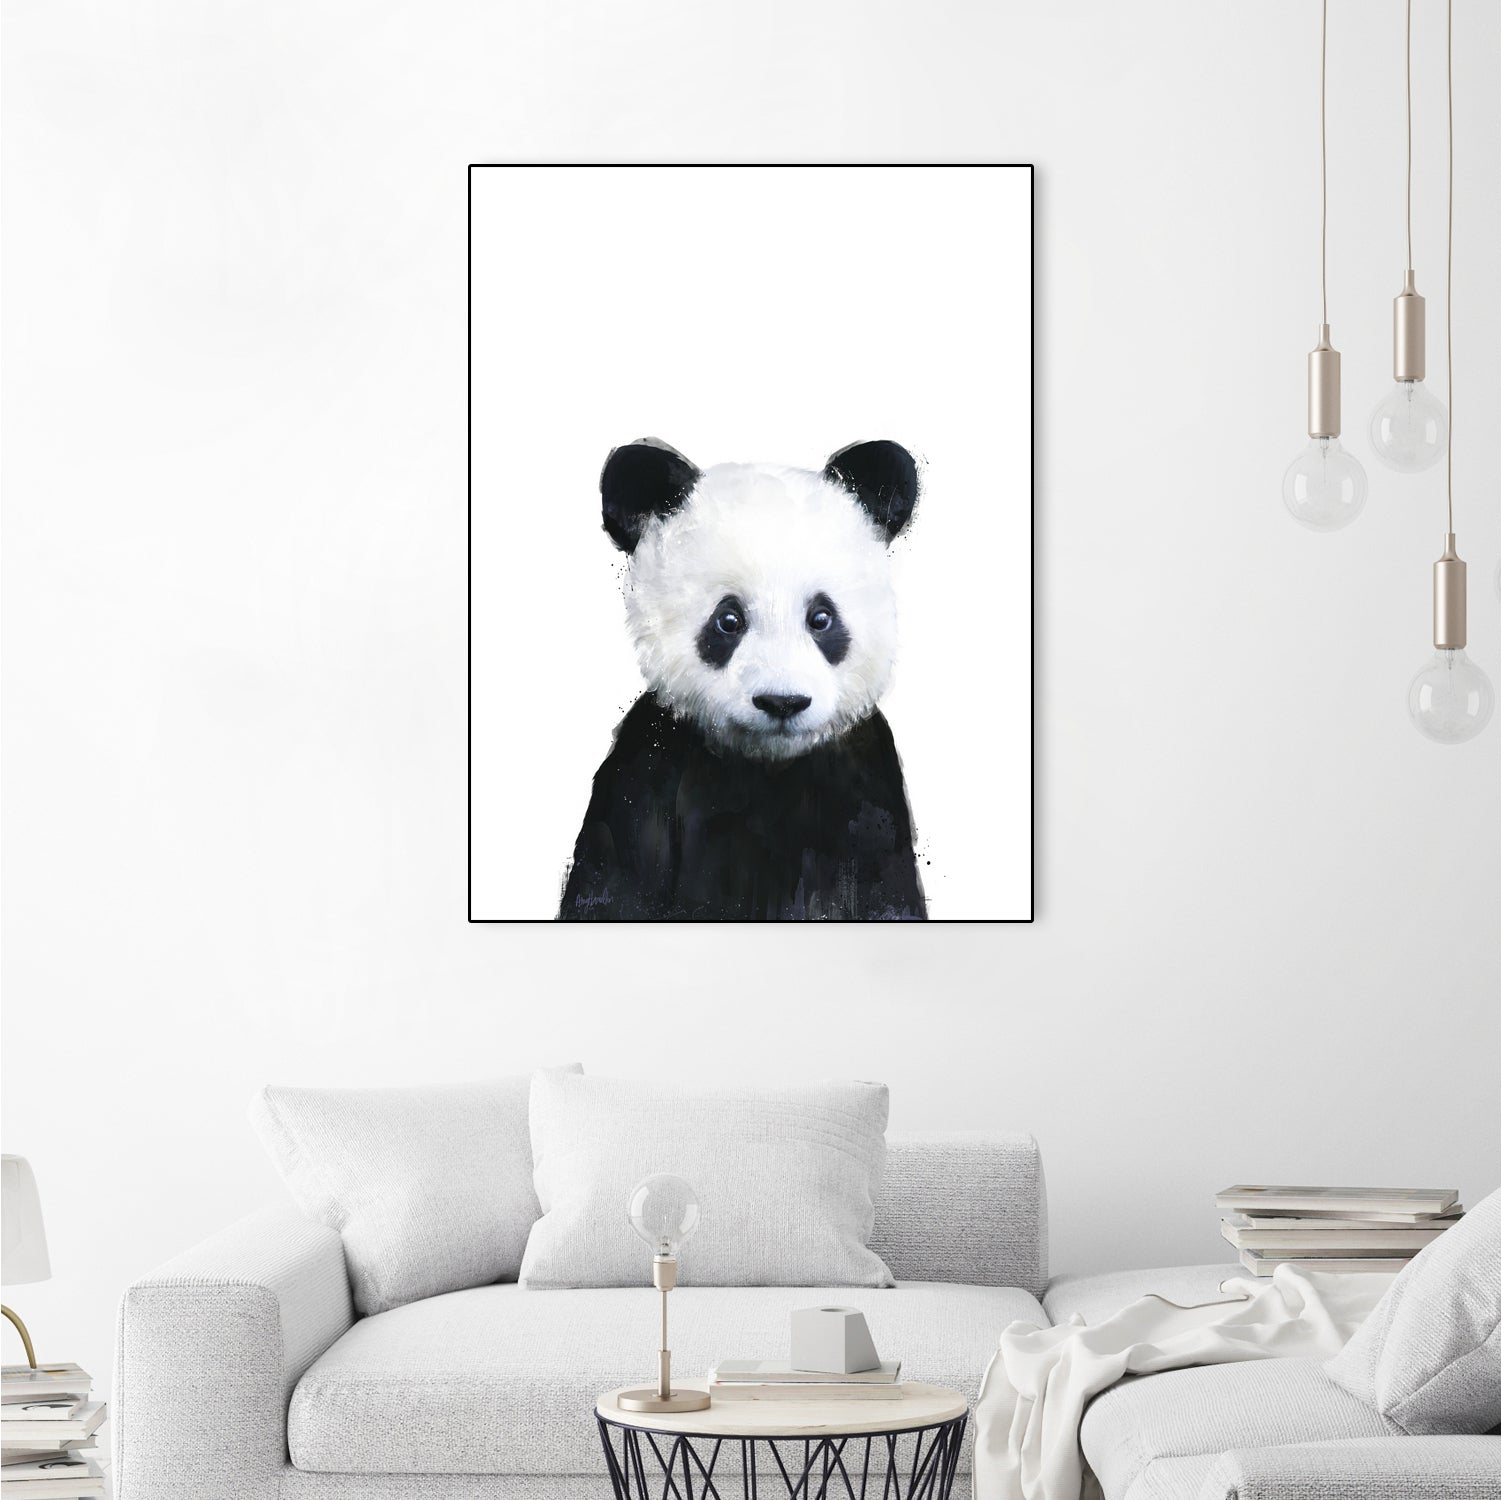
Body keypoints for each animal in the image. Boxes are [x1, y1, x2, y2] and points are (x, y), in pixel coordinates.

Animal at [558, 438, 926, 922]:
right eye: (728, 620)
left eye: (821, 618)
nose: (782, 702)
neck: (766, 764)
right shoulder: (647, 769)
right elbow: (614, 883)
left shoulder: (865, 785)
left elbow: (885, 892)